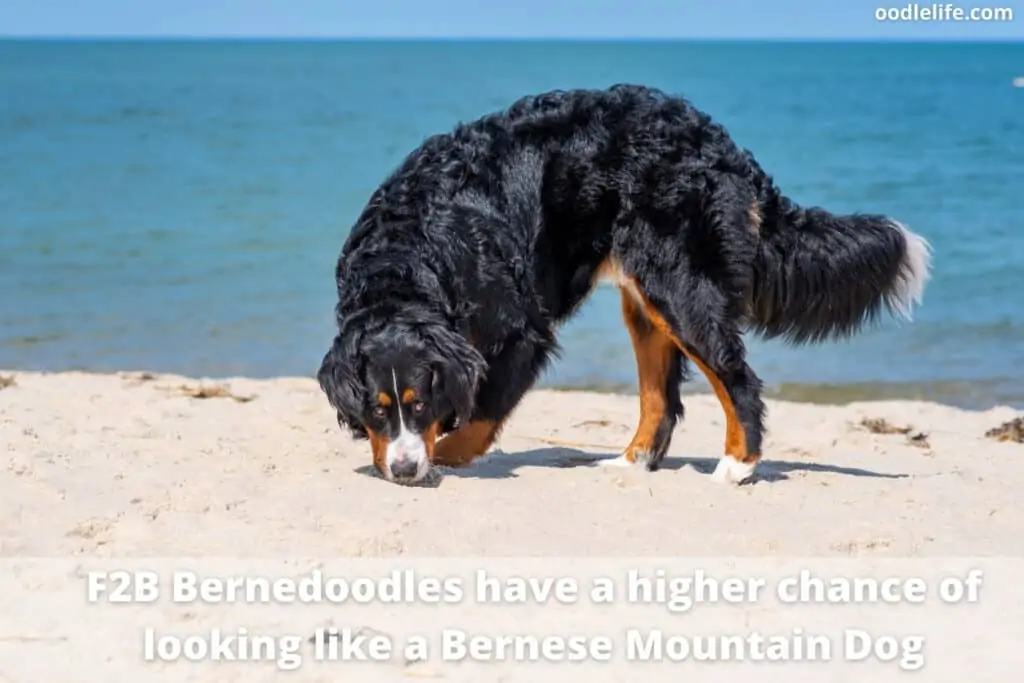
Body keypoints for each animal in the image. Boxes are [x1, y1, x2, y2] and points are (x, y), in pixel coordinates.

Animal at [315, 83, 933, 485]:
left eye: (416, 404)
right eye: (376, 409)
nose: (402, 471)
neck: (409, 259)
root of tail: (722, 145)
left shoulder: (521, 331)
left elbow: (483, 410)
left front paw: (444, 452)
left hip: (680, 290)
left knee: (738, 379)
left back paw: (737, 465)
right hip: (647, 302)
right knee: (661, 398)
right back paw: (629, 462)